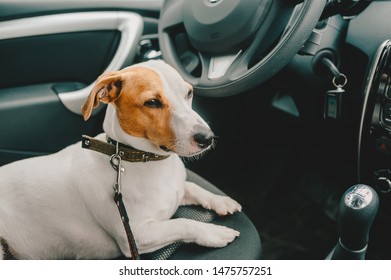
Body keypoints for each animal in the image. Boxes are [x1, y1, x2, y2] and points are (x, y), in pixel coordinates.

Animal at [0, 60, 242, 260]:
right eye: (152, 102)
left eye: (189, 93)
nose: (207, 138)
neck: (145, 160)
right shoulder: (137, 235)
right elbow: (183, 223)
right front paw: (213, 232)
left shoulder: (177, 189)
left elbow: (192, 187)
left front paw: (220, 200)